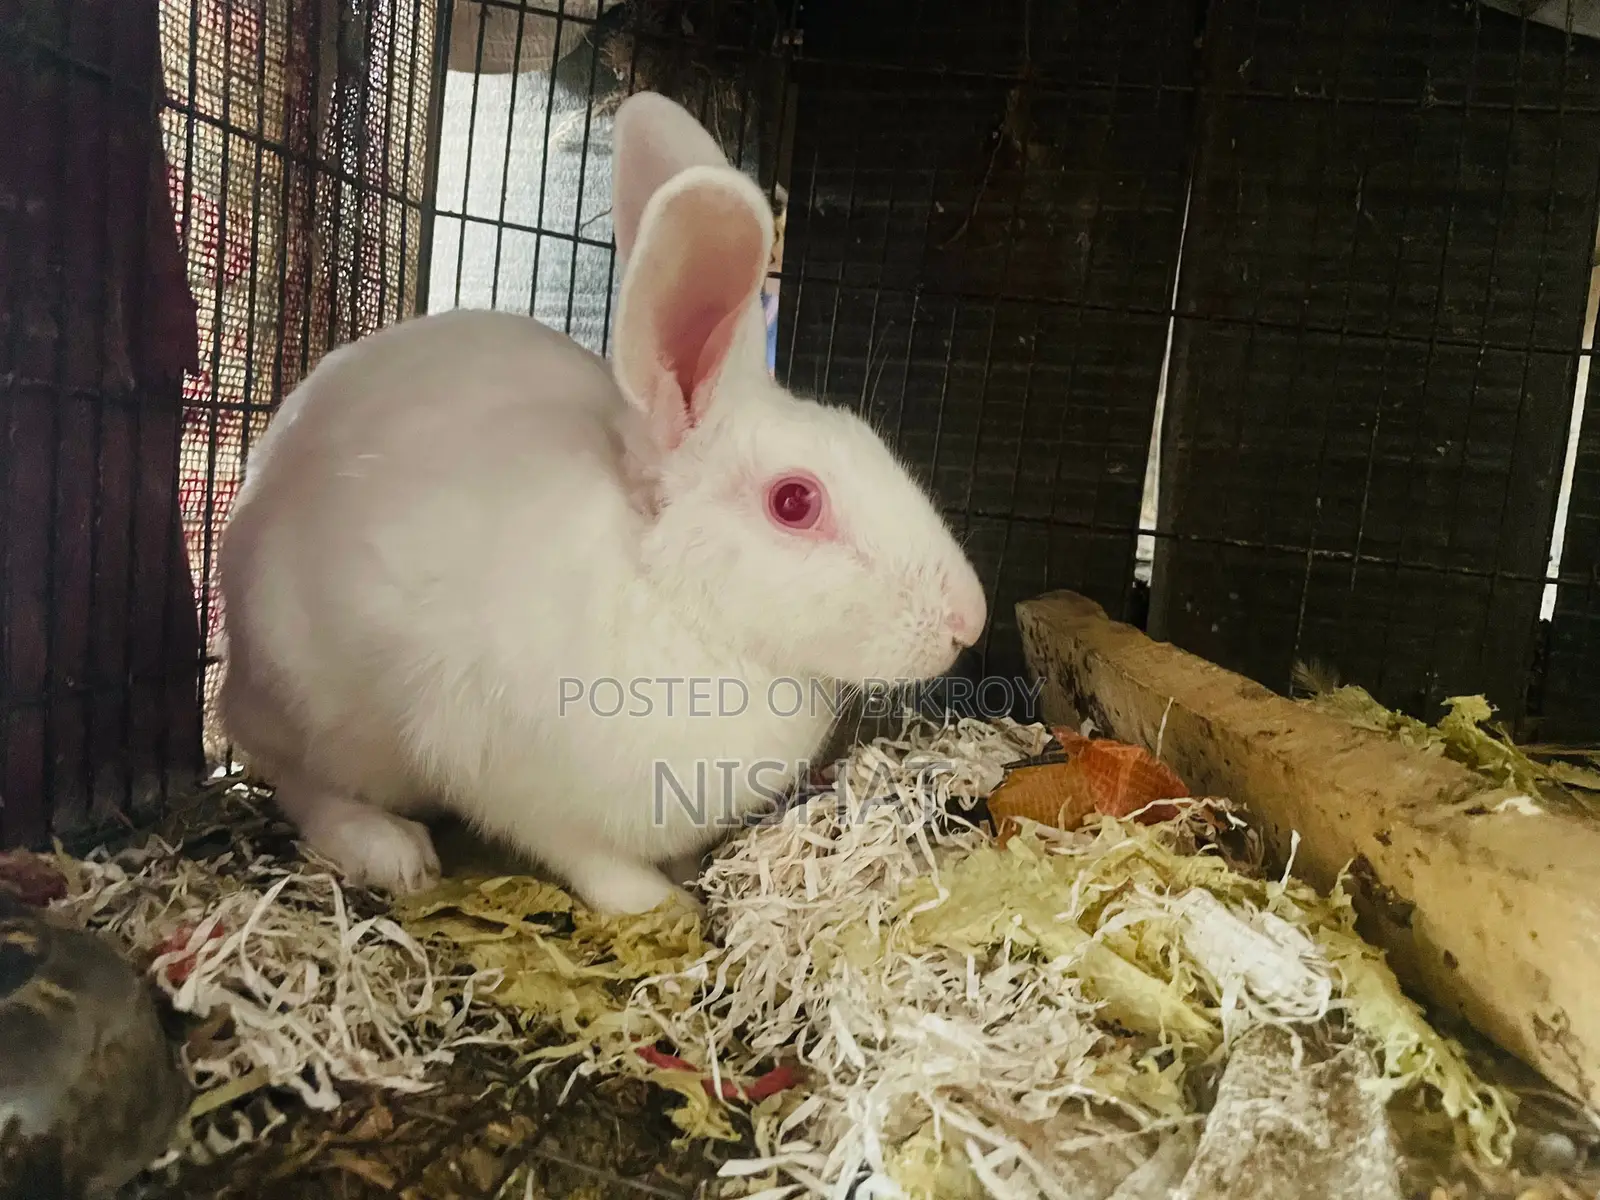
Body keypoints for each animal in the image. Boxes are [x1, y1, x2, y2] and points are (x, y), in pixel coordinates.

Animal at [214, 91, 989, 915]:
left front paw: (684, 878)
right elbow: (584, 856)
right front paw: (661, 904)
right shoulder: (511, 778)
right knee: (292, 774)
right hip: (316, 704)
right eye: (794, 501)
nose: (968, 621)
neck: (677, 603)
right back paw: (388, 850)